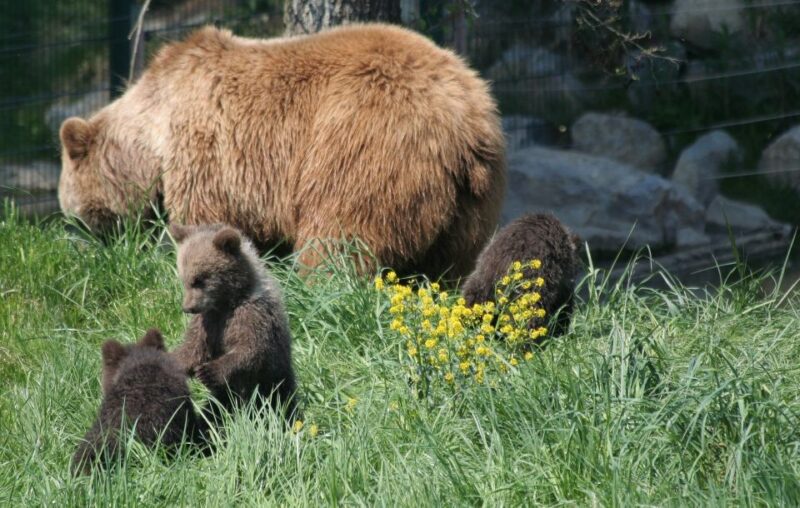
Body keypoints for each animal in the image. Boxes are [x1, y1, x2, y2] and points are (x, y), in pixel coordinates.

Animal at [57, 23, 505, 279]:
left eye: (72, 209)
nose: (82, 239)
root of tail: (467, 122)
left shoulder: (206, 152)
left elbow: (204, 219)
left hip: (363, 144)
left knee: (338, 235)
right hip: (470, 206)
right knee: (449, 266)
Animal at [169, 223, 298, 422]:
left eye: (199, 280)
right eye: (185, 280)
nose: (187, 308)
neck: (228, 302)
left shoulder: (252, 316)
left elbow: (251, 349)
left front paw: (208, 372)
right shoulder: (208, 322)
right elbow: (192, 350)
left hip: (273, 384)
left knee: (280, 404)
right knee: (213, 411)